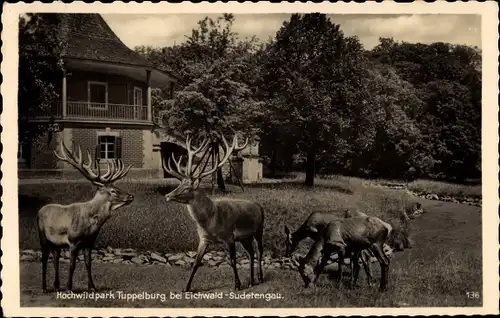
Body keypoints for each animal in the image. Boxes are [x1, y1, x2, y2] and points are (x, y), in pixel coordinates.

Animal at [37, 139, 134, 294]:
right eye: (113, 190)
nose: (131, 196)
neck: (91, 223)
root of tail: (40, 210)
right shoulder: (73, 241)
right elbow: (72, 265)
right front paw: (69, 288)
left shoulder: (89, 242)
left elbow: (89, 263)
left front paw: (92, 287)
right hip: (42, 237)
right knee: (45, 259)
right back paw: (45, 288)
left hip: (56, 243)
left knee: (55, 259)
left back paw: (56, 286)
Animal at [163, 133, 266, 292]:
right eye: (179, 184)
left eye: (187, 188)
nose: (167, 195)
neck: (212, 221)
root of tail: (259, 206)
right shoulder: (204, 239)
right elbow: (196, 262)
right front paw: (186, 287)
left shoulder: (229, 236)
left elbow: (232, 260)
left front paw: (237, 285)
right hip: (244, 237)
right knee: (251, 252)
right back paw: (251, 281)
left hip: (259, 230)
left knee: (260, 250)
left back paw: (259, 278)